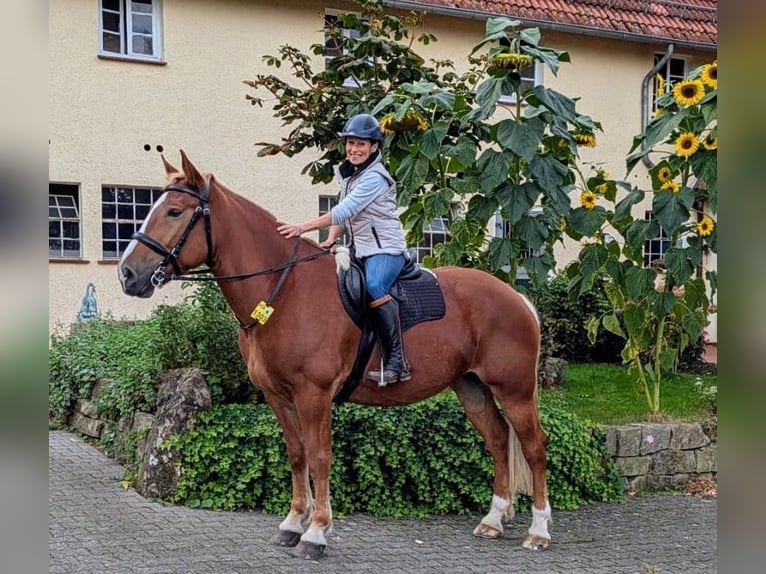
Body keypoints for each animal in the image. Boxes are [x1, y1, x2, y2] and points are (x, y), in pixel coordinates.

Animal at [118, 151, 552, 560]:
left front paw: (316, 533)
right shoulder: (278, 396)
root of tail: (517, 297)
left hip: (514, 391)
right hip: (471, 387)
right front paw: (293, 523)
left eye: (174, 211)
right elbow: (297, 455)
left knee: (533, 447)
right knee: (498, 440)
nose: (127, 274)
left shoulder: (315, 394)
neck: (284, 291)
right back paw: (493, 519)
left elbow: (320, 456)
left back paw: (539, 531)